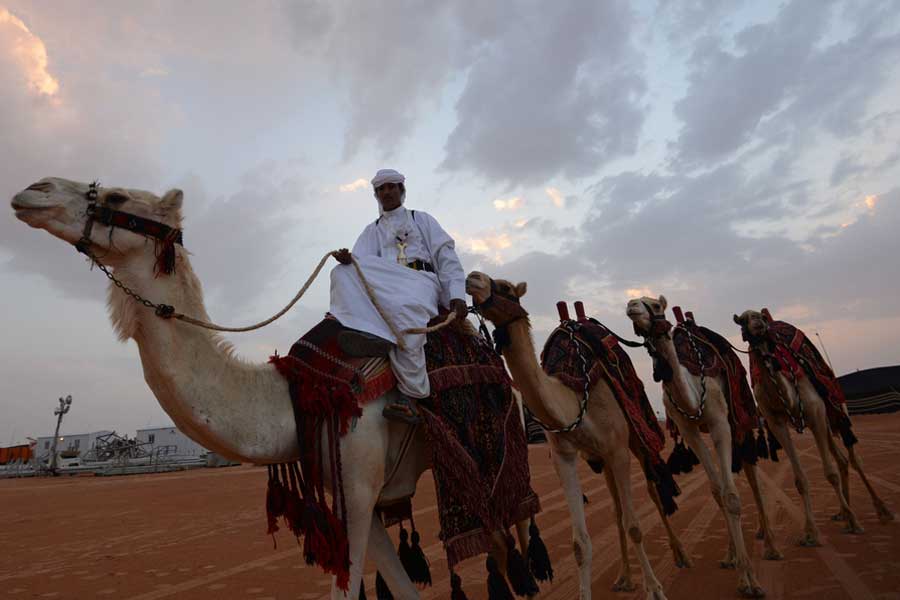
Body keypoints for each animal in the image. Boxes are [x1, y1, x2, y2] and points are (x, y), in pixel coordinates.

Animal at [10, 177, 536, 600]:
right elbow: (401, 587)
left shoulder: (360, 481)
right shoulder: (351, 486)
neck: (291, 393)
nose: (33, 189)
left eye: (117, 196)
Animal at [468, 274, 684, 600]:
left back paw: (679, 556)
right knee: (616, 508)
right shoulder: (565, 457)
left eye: (505, 287)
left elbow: (635, 525)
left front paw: (656, 589)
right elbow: (580, 544)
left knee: (652, 491)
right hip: (604, 460)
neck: (572, 398)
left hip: (636, 440)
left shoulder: (618, 449)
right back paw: (624, 577)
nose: (473, 278)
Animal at [628, 298, 768, 596]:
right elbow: (717, 492)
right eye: (634, 304)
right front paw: (737, 565)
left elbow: (732, 496)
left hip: (740, 421)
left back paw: (769, 540)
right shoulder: (689, 430)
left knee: (750, 473)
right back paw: (730, 556)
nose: (632, 304)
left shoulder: (719, 422)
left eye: (655, 306)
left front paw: (750, 580)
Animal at [732, 312, 892, 548]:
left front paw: (855, 522)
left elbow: (830, 473)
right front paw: (810, 533)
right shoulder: (776, 422)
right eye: (743, 320)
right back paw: (842, 514)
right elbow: (800, 480)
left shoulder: (815, 411)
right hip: (825, 421)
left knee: (853, 459)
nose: (759, 325)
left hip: (835, 410)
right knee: (841, 459)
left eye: (760, 317)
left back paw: (881, 511)